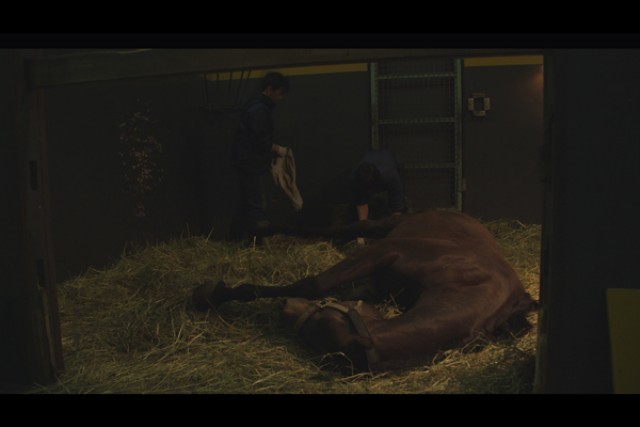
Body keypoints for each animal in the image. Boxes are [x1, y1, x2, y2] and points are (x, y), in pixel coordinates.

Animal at [192, 210, 536, 372]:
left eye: (318, 328)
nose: (286, 306)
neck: (467, 280)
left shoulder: (377, 288)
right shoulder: (384, 252)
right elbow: (315, 283)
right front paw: (214, 292)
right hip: (378, 228)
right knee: (337, 230)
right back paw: (258, 228)